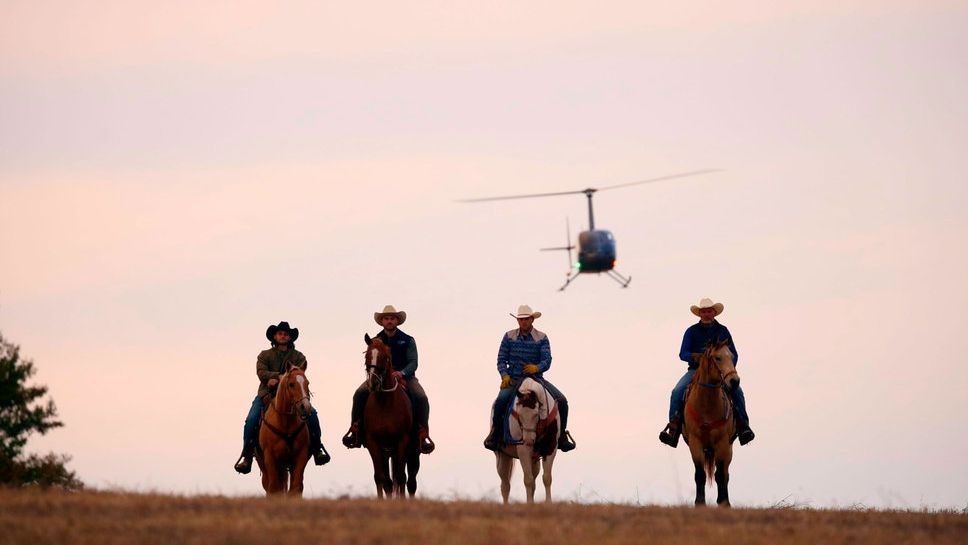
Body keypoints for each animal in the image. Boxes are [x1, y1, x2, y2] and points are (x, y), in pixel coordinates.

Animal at [255, 364, 312, 496]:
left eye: (307, 383)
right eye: (291, 384)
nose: (305, 407)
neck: (285, 423)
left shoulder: (301, 457)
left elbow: (296, 488)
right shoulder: (270, 458)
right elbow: (274, 489)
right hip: (263, 464)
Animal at [362, 332, 418, 498]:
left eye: (385, 357)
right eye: (367, 355)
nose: (373, 383)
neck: (385, 404)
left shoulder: (402, 441)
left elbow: (400, 477)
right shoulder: (374, 443)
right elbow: (381, 478)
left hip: (412, 451)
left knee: (410, 481)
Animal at [680, 340, 740, 506]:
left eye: (731, 356)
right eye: (717, 358)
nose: (735, 381)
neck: (707, 404)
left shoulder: (722, 443)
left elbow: (720, 475)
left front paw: (724, 502)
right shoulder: (695, 442)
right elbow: (700, 474)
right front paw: (700, 502)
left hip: (728, 449)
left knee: (725, 473)